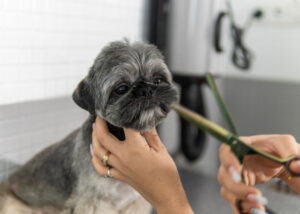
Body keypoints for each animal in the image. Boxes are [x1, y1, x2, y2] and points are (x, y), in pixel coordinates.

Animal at [0, 39, 178, 213]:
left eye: (158, 80)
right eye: (121, 88)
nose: (146, 90)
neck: (120, 135)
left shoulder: (135, 203)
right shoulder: (93, 203)